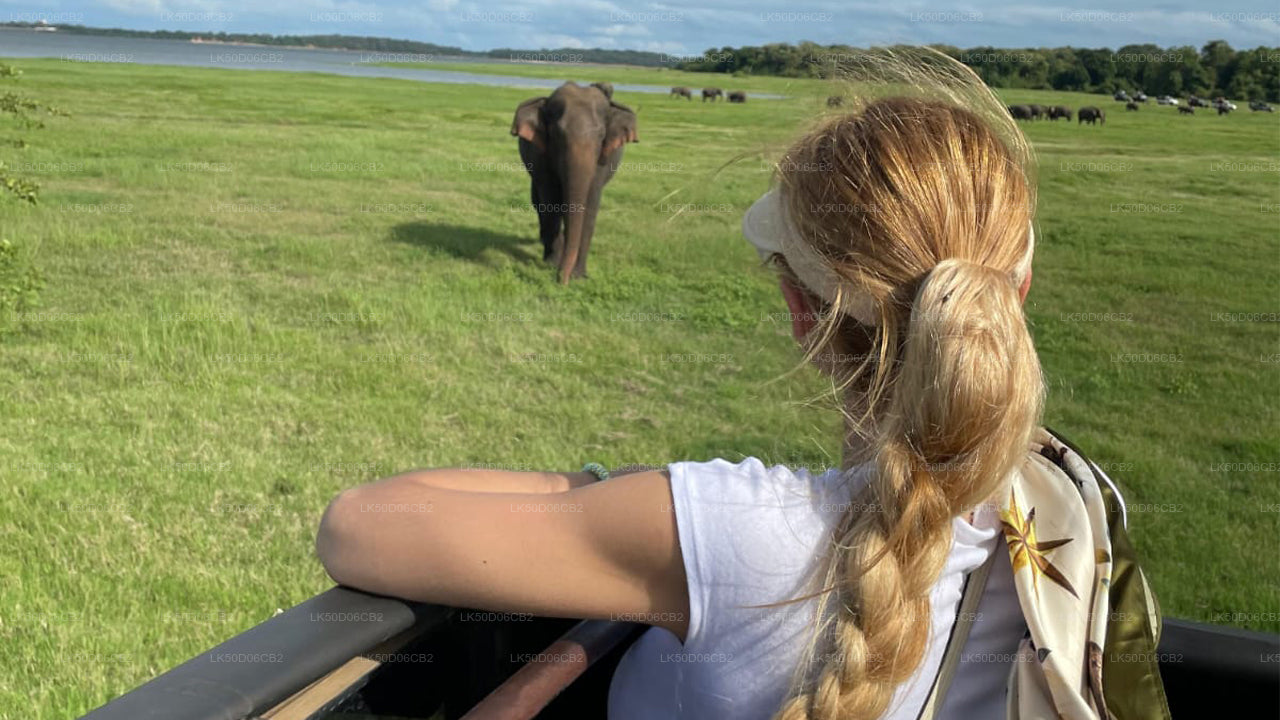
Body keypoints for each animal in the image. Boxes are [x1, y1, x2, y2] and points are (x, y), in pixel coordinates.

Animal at [511, 81, 639, 284]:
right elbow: (550, 200)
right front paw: (552, 264)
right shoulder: (540, 156)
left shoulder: (602, 161)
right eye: (556, 133)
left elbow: (590, 204)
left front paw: (579, 276)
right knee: (537, 202)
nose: (561, 281)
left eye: (601, 135)